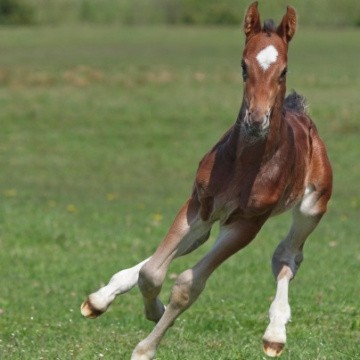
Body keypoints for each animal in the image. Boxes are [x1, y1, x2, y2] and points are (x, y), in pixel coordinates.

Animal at [81, 2, 332, 358]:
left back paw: (275, 334)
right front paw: (154, 309)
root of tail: (301, 113)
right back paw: (101, 297)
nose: (256, 120)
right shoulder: (198, 204)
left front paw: (145, 348)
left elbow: (187, 285)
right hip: (210, 218)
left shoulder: (246, 223)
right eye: (243, 66)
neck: (244, 165)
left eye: (283, 70)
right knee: (189, 245)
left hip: (312, 207)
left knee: (287, 256)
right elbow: (152, 272)